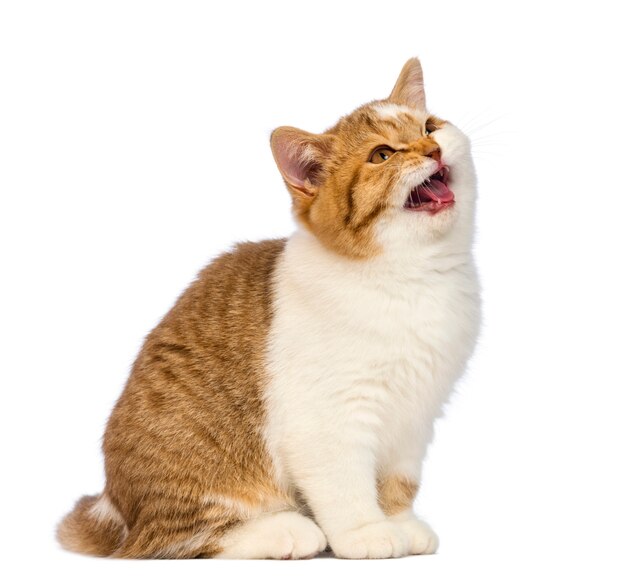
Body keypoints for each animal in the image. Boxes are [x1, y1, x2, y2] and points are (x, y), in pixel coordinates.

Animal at [57, 58, 478, 560]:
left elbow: (399, 480)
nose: (432, 148)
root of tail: (113, 509)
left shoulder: (415, 416)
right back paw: (283, 531)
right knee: (175, 539)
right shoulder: (325, 417)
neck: (410, 275)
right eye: (381, 155)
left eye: (430, 126)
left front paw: (400, 522)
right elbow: (345, 485)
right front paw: (365, 532)